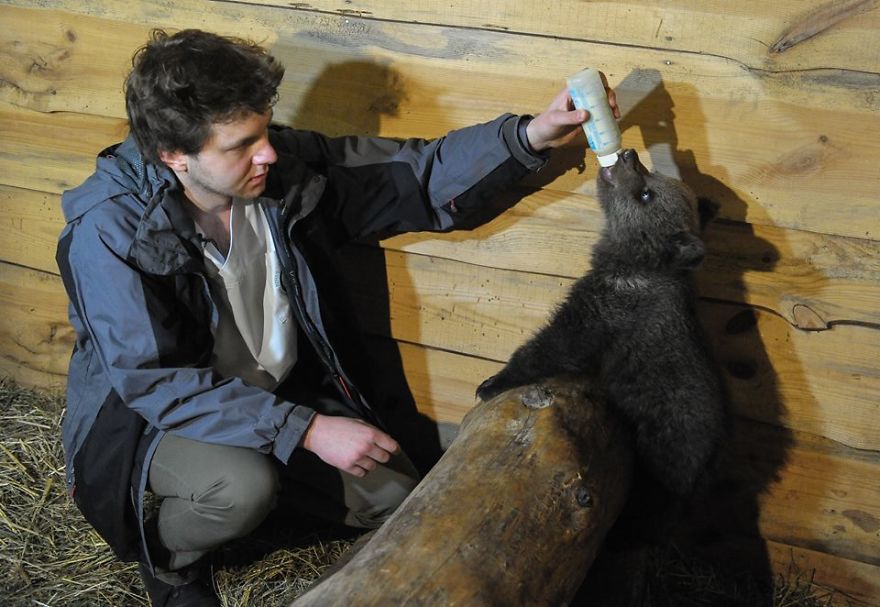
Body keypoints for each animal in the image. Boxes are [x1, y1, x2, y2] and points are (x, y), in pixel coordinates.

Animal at [476, 148, 729, 497]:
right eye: (654, 177)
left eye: (646, 194)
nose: (628, 154)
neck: (632, 263)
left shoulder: (602, 311)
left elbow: (555, 346)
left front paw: (494, 382)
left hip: (669, 441)